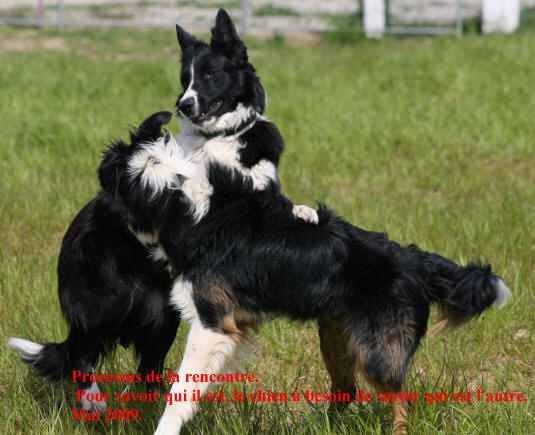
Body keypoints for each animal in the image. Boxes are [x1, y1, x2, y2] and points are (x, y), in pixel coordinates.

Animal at [8, 110, 182, 410]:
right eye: (142, 184)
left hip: (164, 312)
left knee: (150, 362)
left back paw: (157, 400)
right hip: (106, 299)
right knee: (82, 350)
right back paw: (94, 403)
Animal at [91, 10, 510, 435]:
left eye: (210, 74)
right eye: (184, 79)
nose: (182, 105)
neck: (178, 200)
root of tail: (415, 259)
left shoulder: (213, 324)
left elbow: (180, 394)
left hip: (377, 353)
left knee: (398, 403)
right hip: (335, 337)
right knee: (346, 391)